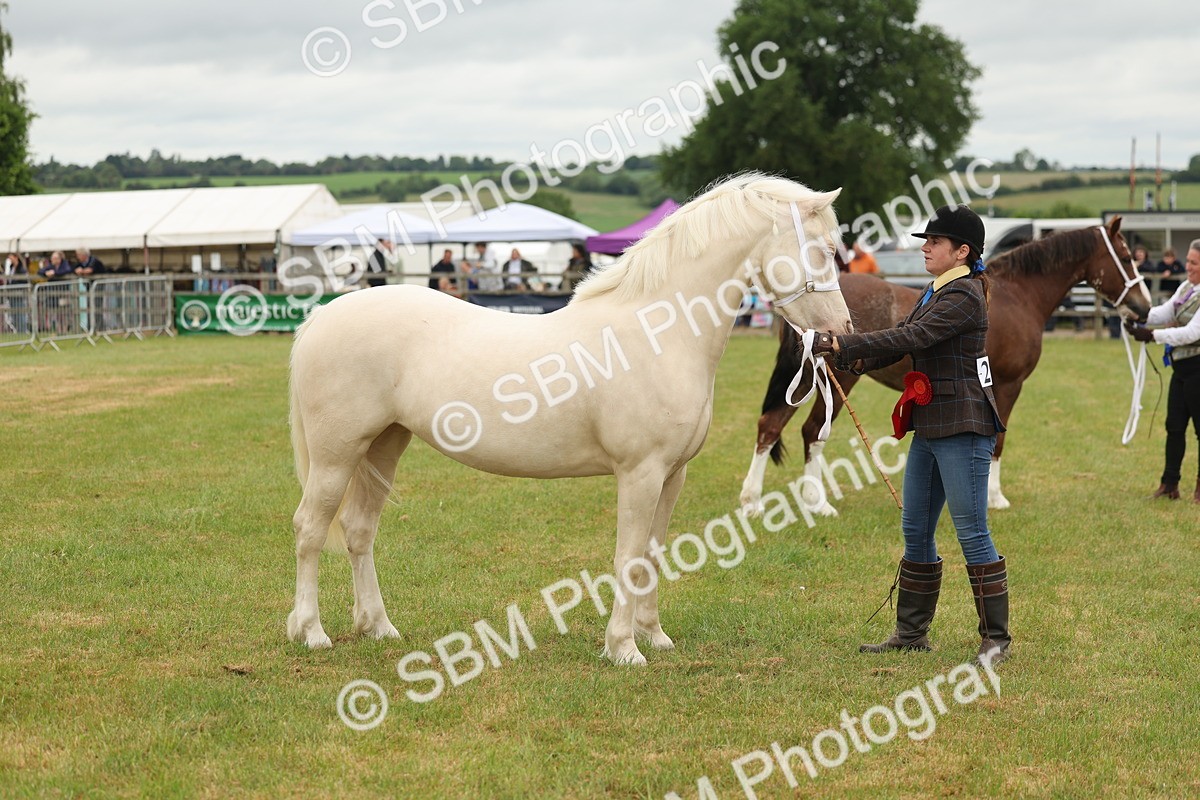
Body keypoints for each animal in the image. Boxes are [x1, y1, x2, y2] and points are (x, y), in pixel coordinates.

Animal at [286, 173, 853, 666]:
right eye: (826, 252)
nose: (841, 334)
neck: (657, 333)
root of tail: (322, 316)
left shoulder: (673, 474)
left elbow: (653, 553)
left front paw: (655, 636)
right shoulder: (640, 473)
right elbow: (628, 556)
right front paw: (624, 648)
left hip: (384, 444)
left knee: (359, 529)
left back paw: (378, 626)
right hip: (337, 455)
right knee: (311, 530)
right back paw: (312, 632)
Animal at [738, 216, 1153, 517]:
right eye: (1127, 258)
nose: (1144, 307)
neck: (1018, 295)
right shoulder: (1008, 385)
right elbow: (998, 440)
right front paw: (994, 497)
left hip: (809, 376)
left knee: (771, 425)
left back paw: (755, 501)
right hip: (837, 380)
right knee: (812, 431)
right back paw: (817, 503)